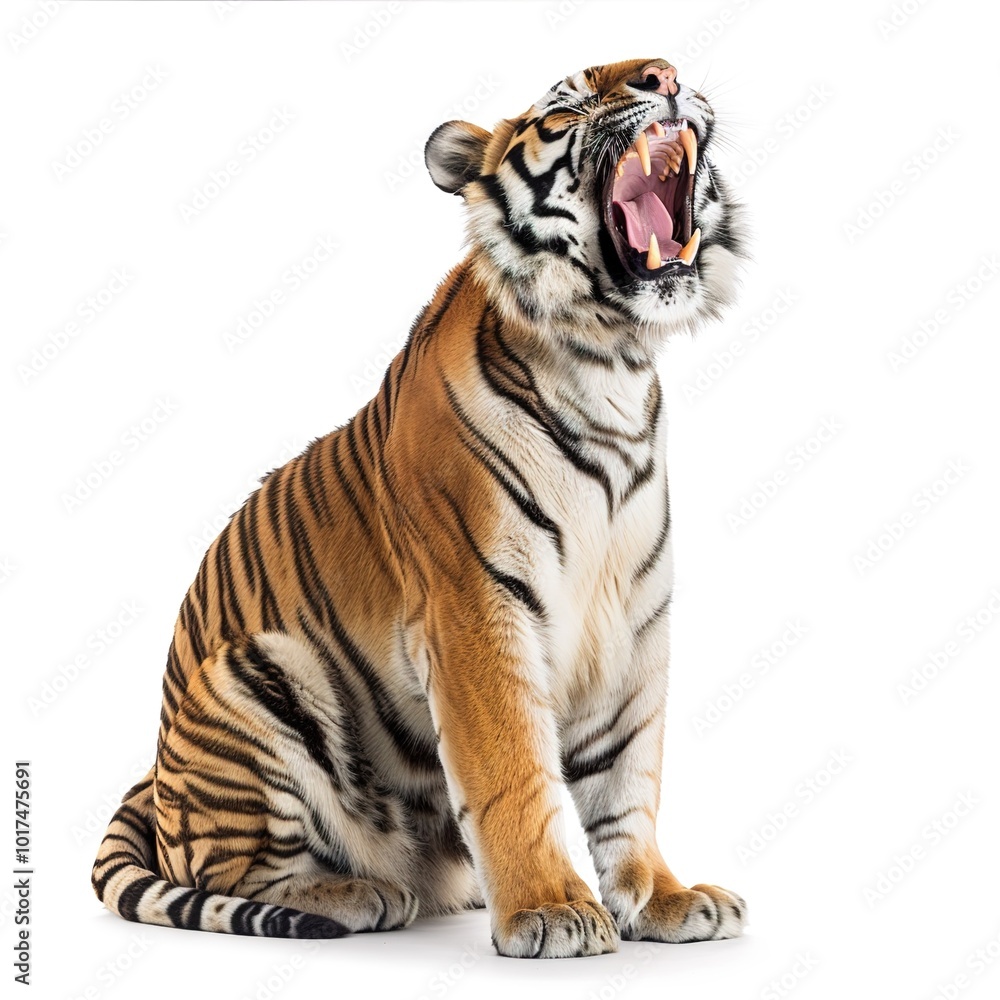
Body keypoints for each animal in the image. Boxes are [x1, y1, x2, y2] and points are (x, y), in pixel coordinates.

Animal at [92, 56, 748, 959]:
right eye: (571, 101)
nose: (666, 75)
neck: (609, 363)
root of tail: (155, 783)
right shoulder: (474, 605)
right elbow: (512, 770)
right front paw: (549, 908)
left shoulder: (634, 618)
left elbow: (629, 778)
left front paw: (664, 898)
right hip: (261, 672)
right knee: (229, 873)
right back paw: (358, 893)